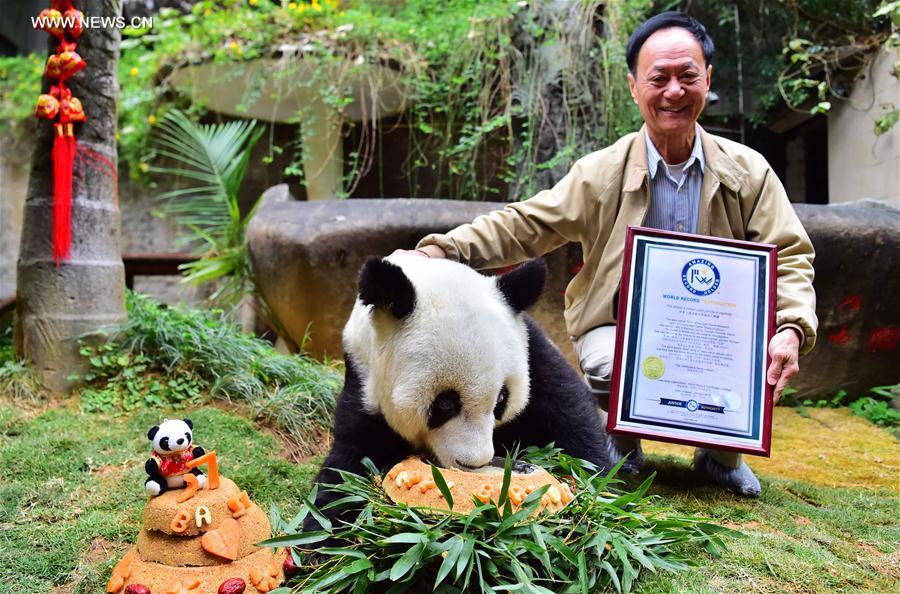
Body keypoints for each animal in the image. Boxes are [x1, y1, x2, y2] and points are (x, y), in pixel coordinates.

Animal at [308, 254, 612, 528]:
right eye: (445, 404)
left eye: (501, 400)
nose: (474, 464)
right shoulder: (365, 378)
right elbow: (349, 465)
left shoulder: (532, 352)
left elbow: (569, 415)